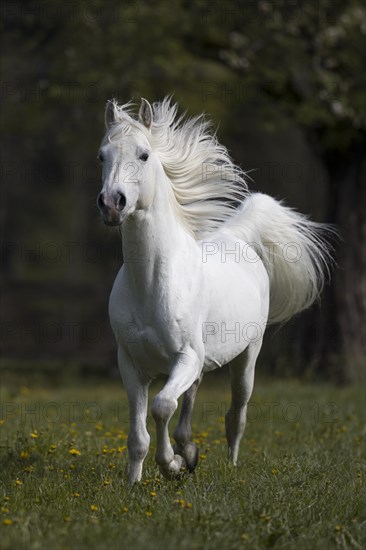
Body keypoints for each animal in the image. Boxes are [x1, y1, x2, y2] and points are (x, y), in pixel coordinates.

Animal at [96, 98, 332, 484]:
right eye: (102, 156)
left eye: (144, 155)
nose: (112, 203)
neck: (150, 283)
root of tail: (236, 235)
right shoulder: (130, 364)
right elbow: (138, 434)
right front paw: (136, 481)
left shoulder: (186, 357)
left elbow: (162, 406)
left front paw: (172, 466)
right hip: (201, 362)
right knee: (190, 402)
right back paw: (189, 450)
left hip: (247, 356)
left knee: (236, 414)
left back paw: (228, 462)